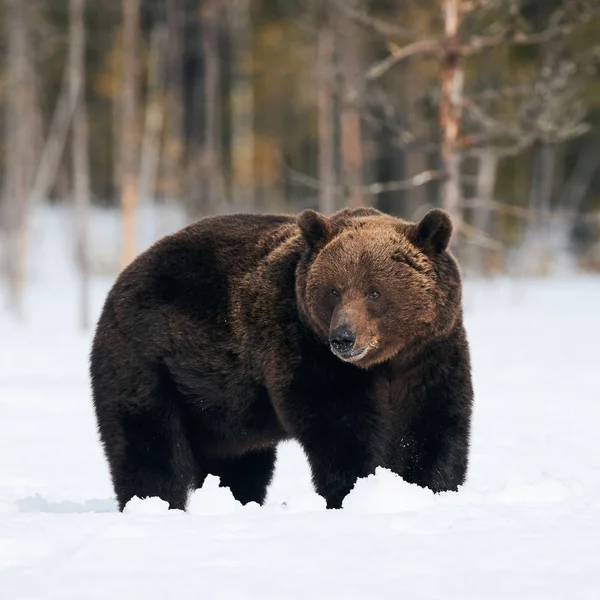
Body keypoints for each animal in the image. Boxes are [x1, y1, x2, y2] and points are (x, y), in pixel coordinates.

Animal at [90, 207, 474, 510]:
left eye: (374, 291)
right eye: (334, 290)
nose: (343, 338)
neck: (385, 363)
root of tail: (122, 278)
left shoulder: (431, 355)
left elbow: (433, 424)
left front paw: (431, 488)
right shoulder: (306, 348)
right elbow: (340, 427)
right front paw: (353, 490)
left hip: (217, 408)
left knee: (238, 463)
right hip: (150, 362)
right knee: (147, 443)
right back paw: (154, 503)